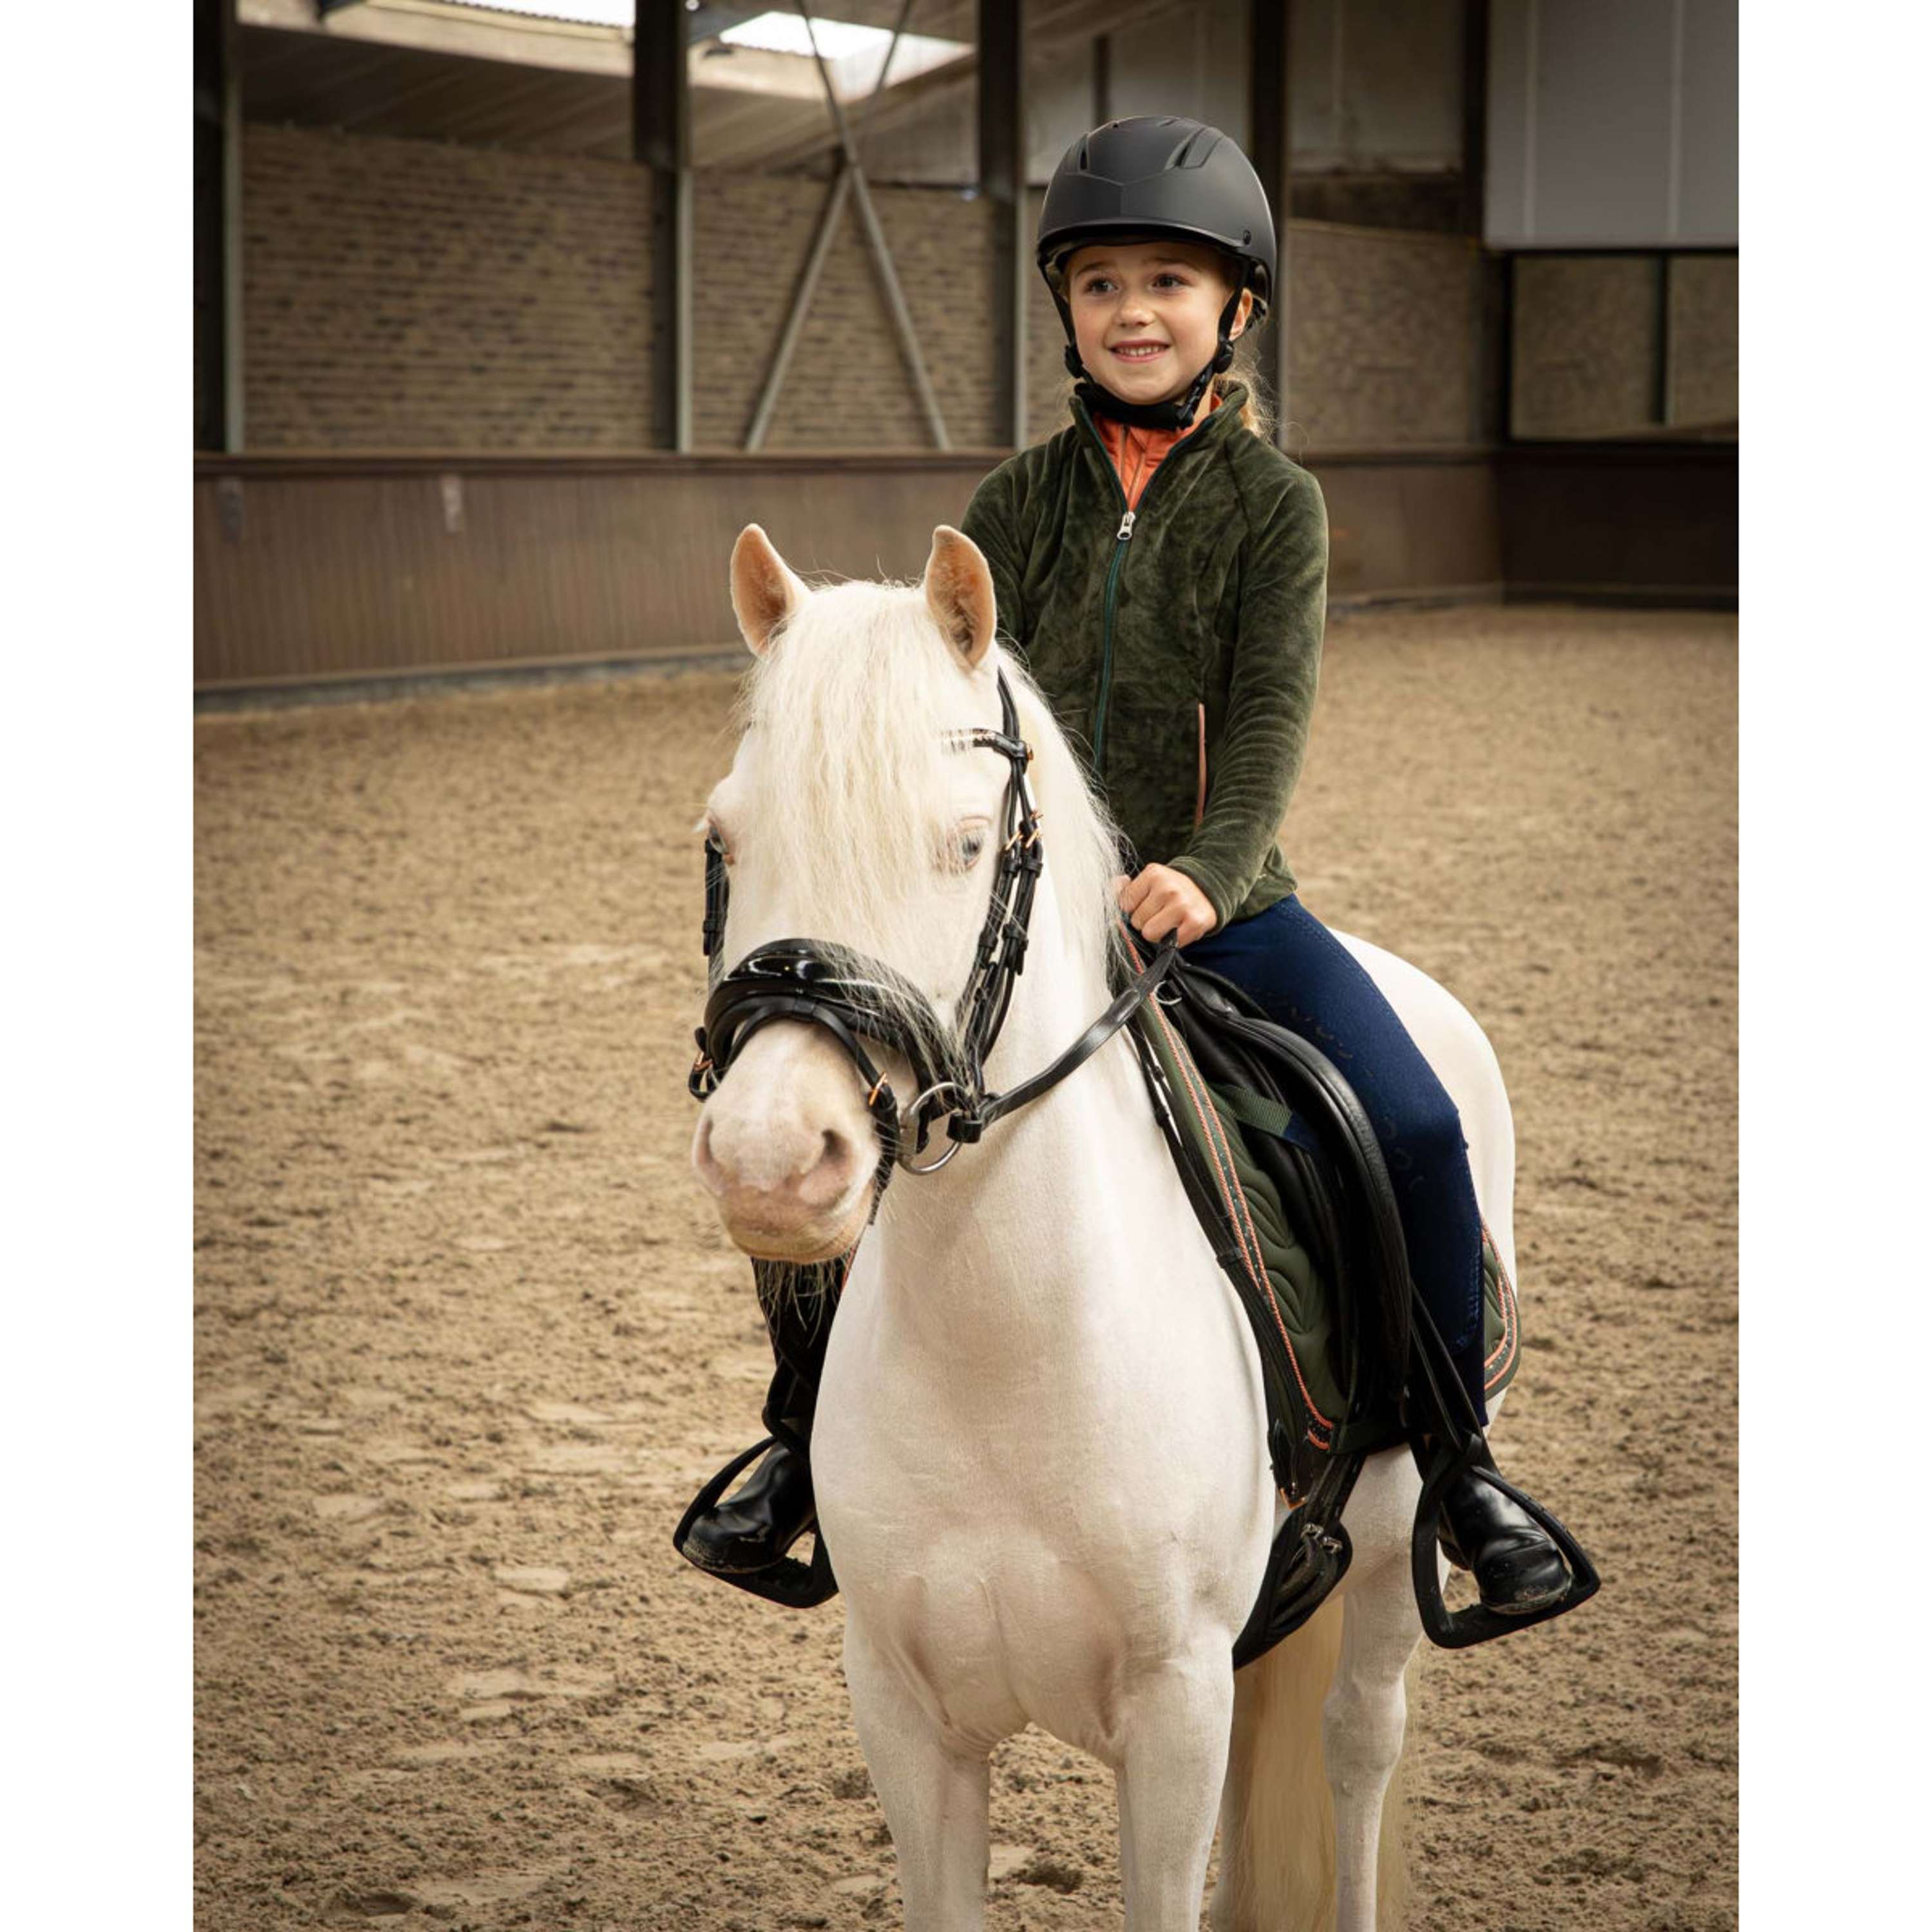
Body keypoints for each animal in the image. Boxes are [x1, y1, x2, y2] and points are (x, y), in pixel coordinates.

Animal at [687, 521, 1522, 1931]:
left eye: (969, 844)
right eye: (725, 840)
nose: (770, 1160)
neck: (1004, 1350)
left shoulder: (1175, 1714)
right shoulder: (904, 1715)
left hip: (1394, 1550)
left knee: (1357, 1750)